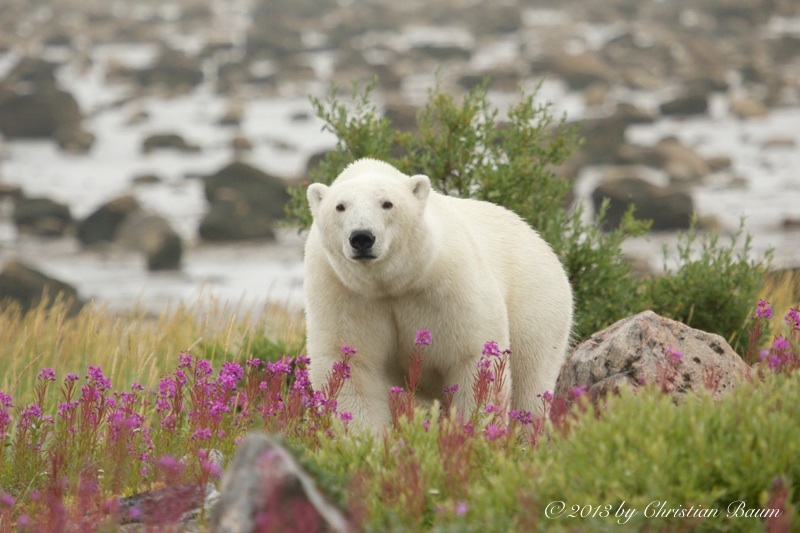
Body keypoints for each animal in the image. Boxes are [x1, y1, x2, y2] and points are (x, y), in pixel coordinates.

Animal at [304, 157, 572, 428]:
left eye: (387, 203)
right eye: (340, 206)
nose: (361, 237)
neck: (391, 283)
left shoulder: (448, 283)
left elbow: (470, 356)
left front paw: (474, 427)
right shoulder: (345, 294)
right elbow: (354, 367)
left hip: (536, 300)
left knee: (531, 376)